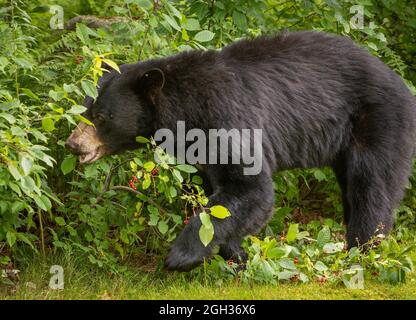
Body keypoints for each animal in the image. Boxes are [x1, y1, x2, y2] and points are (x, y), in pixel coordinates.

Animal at [65, 30, 416, 272]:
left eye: (101, 117)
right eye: (84, 108)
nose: (73, 144)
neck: (185, 109)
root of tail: (402, 84)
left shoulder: (227, 116)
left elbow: (250, 188)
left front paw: (180, 257)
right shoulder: (202, 149)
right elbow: (222, 197)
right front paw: (237, 256)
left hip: (379, 121)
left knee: (372, 186)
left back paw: (362, 250)